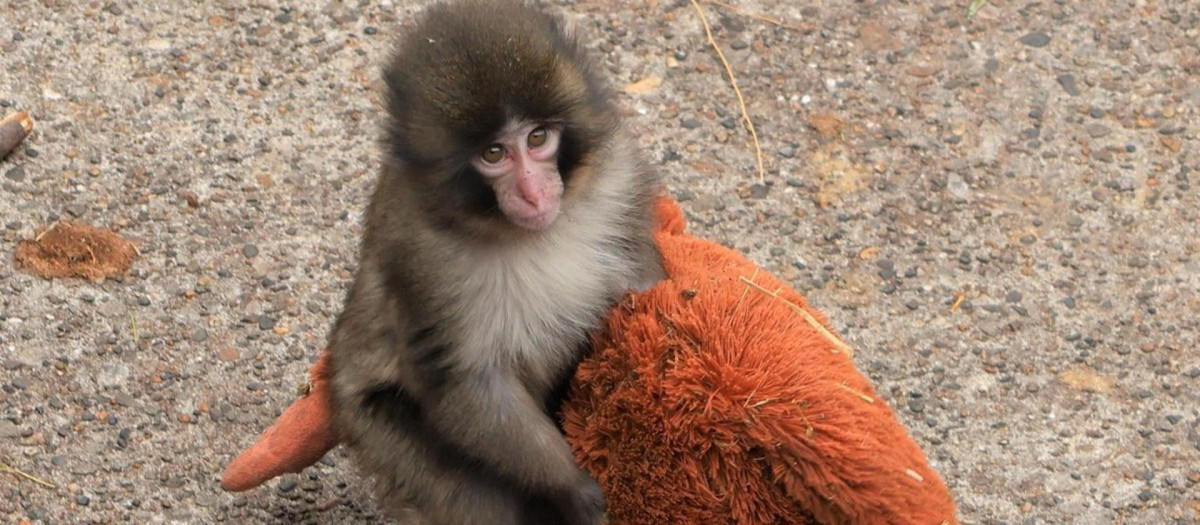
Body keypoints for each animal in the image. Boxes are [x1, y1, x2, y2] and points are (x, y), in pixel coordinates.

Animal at [325, 1, 665, 524]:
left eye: (538, 137)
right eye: (493, 153)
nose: (533, 192)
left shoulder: (617, 179)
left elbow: (643, 282)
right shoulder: (423, 258)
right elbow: (468, 381)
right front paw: (575, 488)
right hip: (378, 429)